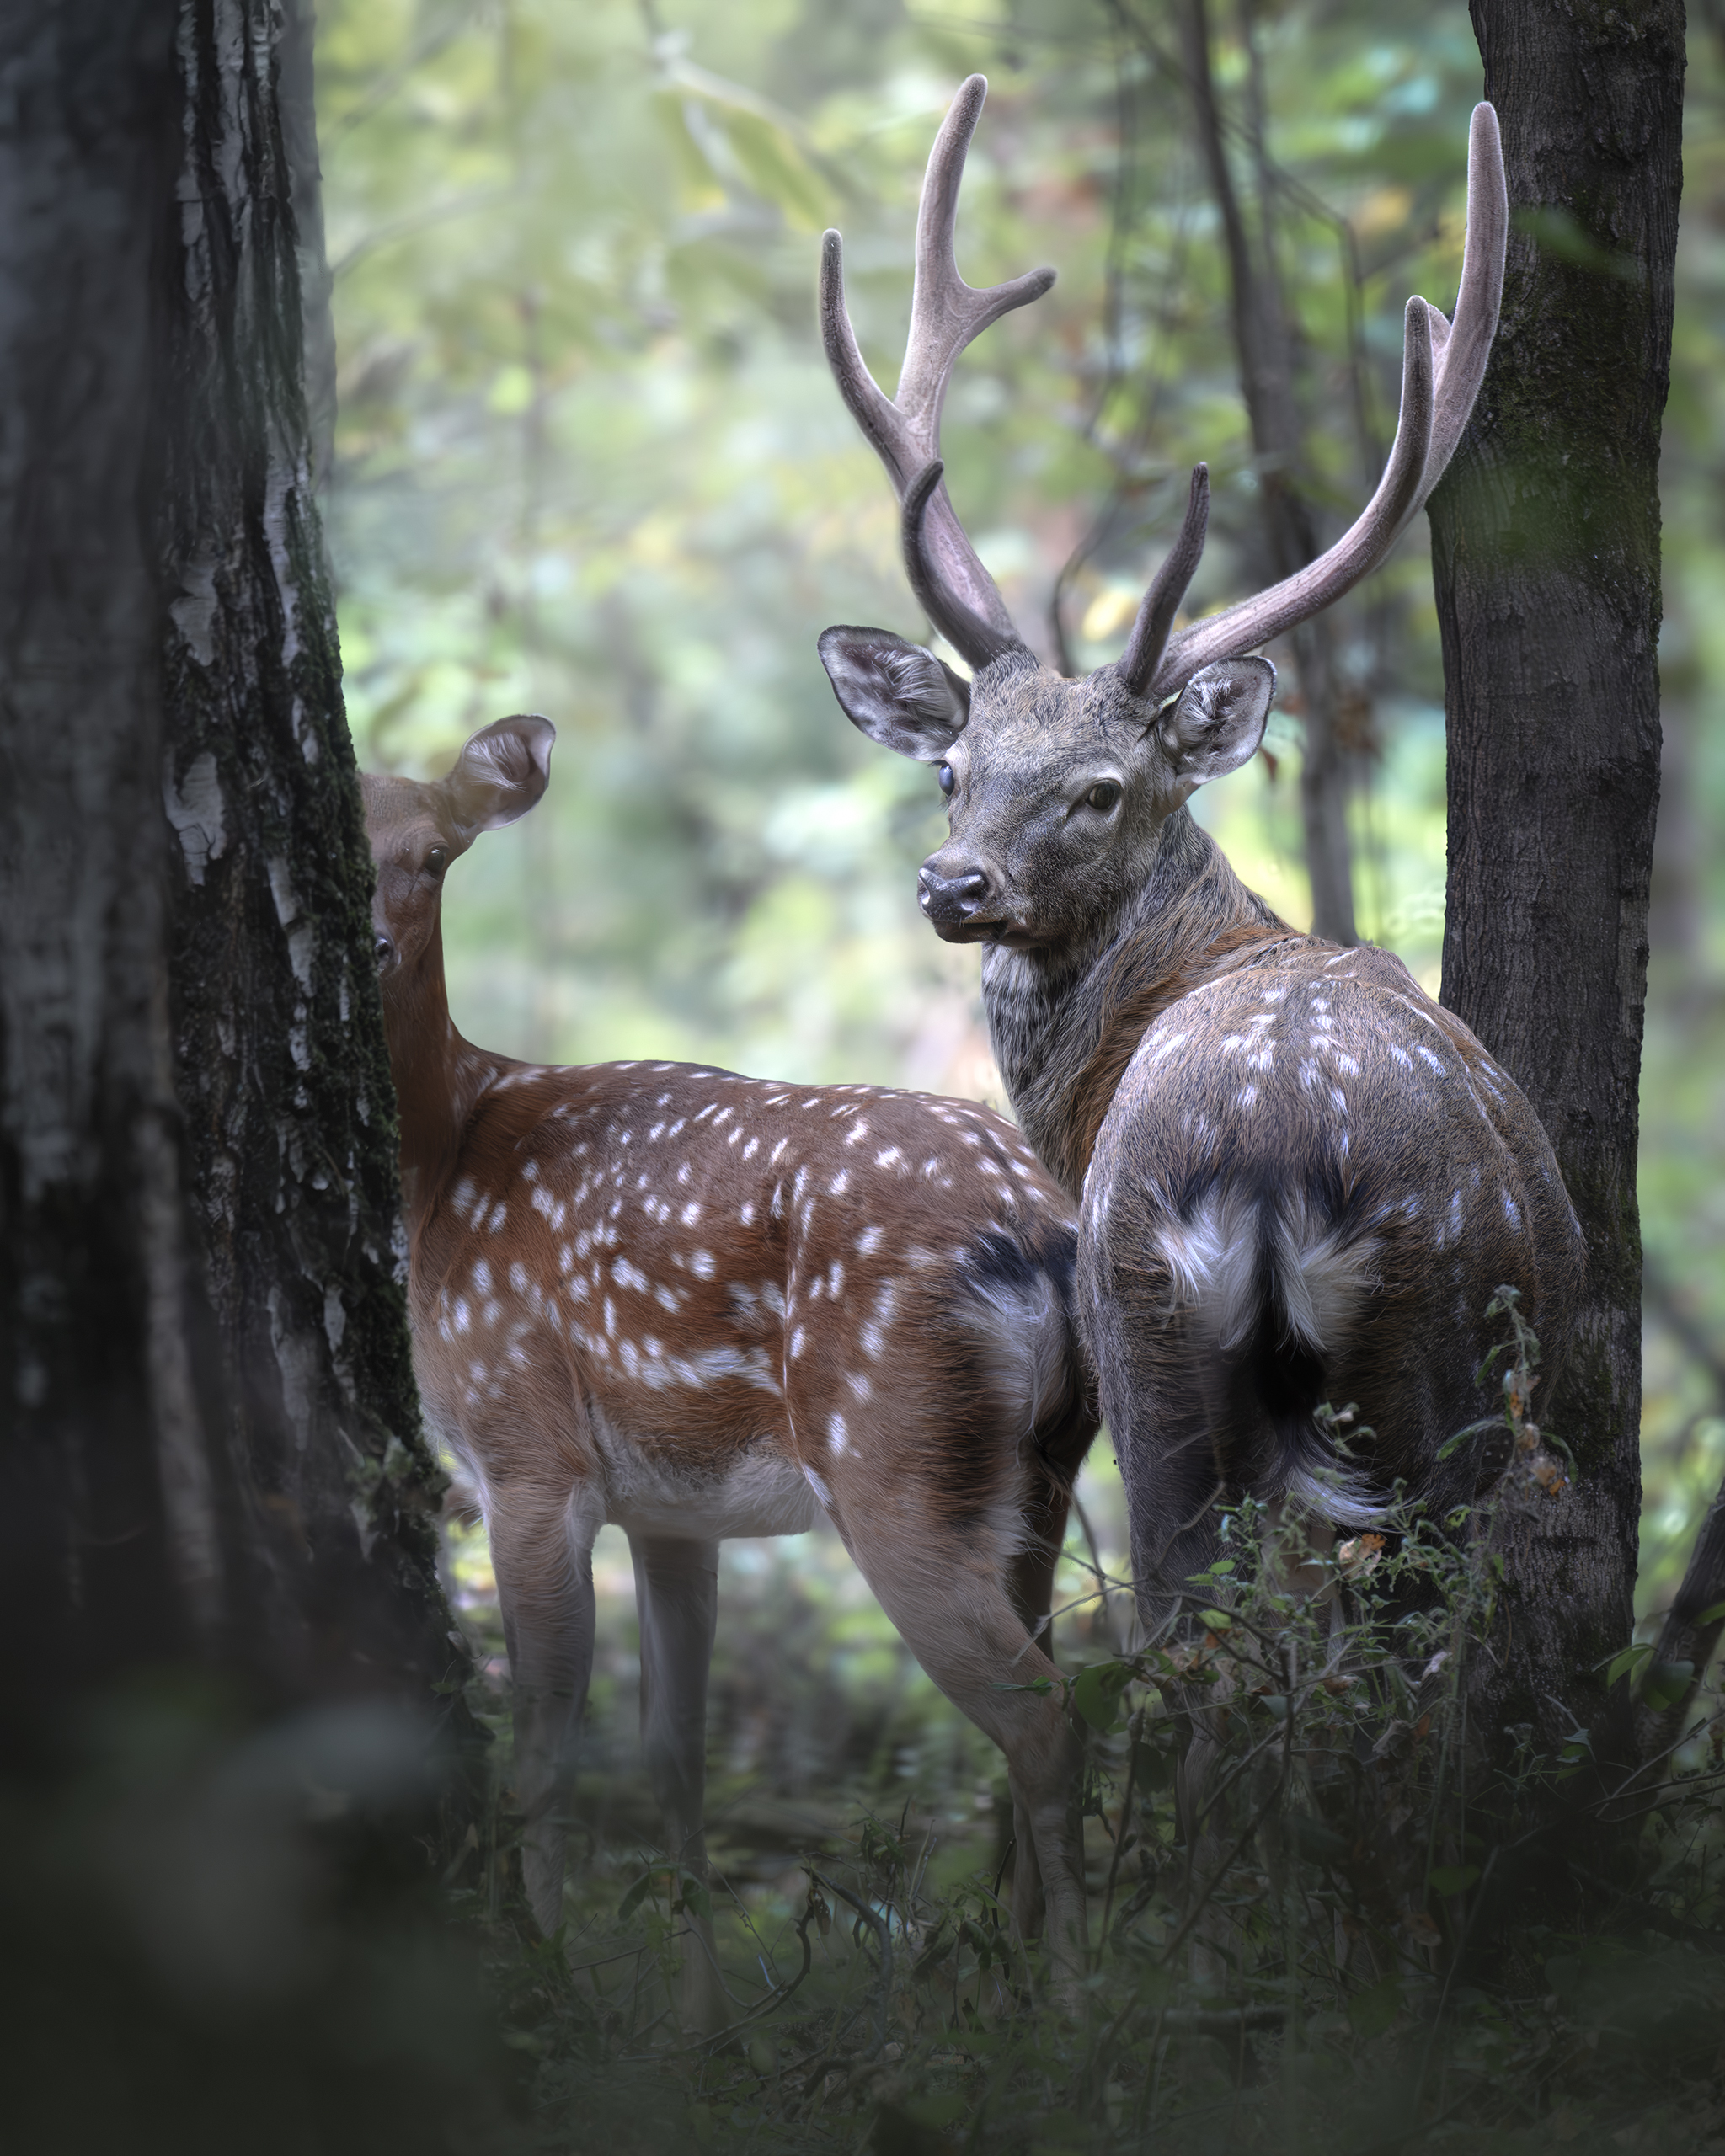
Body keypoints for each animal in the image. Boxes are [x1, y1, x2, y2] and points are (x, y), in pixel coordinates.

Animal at [360, 720, 1091, 2018]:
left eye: (434, 855)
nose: (373, 943)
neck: (441, 1180)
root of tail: (1042, 1235)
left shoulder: (526, 1449)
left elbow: (545, 1746)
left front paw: (541, 1976)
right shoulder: (670, 1507)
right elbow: (672, 1755)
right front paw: (697, 2018)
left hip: (892, 1454)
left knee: (1047, 1721)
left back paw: (1073, 2008)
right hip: (1037, 1479)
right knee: (1041, 1700)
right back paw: (1012, 1977)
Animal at [814, 79, 1587, 1621]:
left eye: (1102, 790)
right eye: (951, 770)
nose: (954, 883)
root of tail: (1267, 1158)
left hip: (1157, 1346)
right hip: (1347, 1367)